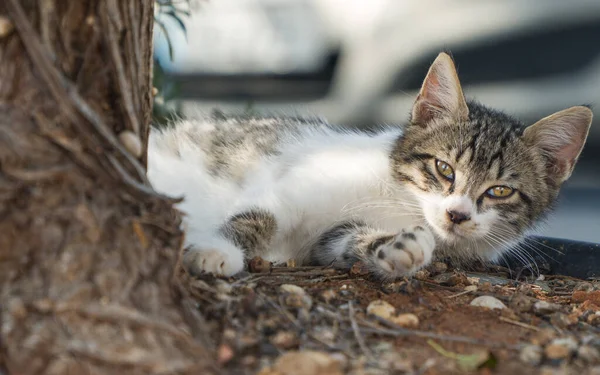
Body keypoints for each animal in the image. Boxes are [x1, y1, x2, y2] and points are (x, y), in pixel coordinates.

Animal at [148, 53, 592, 282]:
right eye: (443, 168)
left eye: (500, 191)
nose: (457, 214)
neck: (399, 201)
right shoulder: (290, 186)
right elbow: (258, 215)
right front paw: (215, 249)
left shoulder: (325, 240)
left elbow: (341, 241)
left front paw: (398, 248)